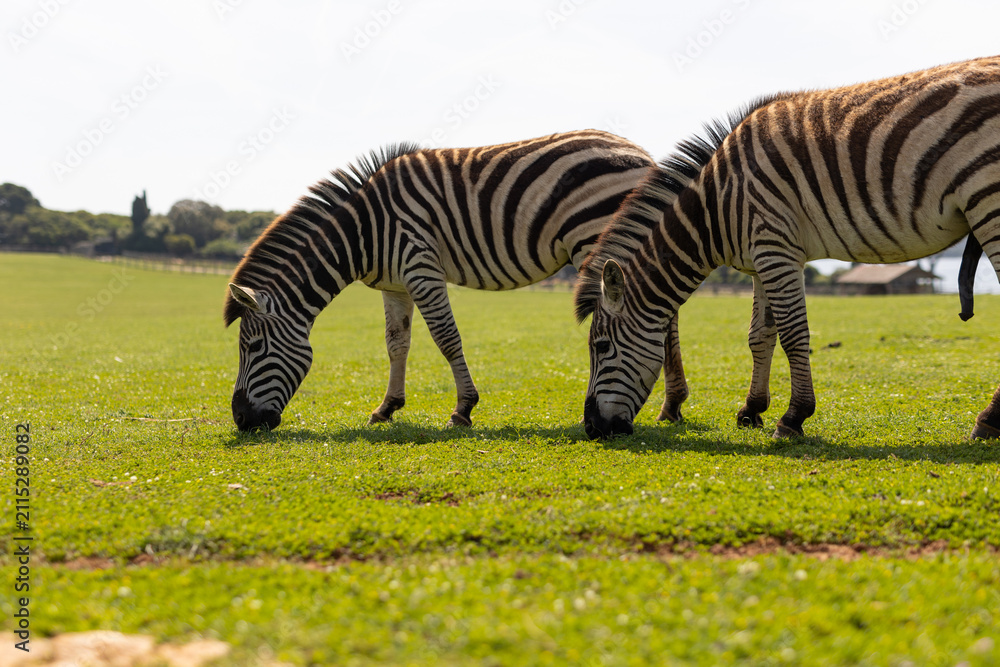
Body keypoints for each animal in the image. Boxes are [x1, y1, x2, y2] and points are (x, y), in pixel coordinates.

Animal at [224, 130, 691, 431]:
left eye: (252, 348)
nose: (241, 420)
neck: (364, 230)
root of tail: (641, 153)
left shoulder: (420, 266)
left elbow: (446, 338)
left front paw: (463, 409)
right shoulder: (395, 284)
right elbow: (397, 343)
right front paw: (387, 408)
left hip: (599, 238)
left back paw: (669, 403)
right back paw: (671, 405)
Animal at [575, 55, 1000, 440]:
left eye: (601, 346)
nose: (592, 428)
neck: (717, 209)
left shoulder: (775, 248)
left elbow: (794, 333)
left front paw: (794, 417)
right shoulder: (761, 258)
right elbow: (759, 335)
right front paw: (751, 410)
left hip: (988, 199)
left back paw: (987, 421)